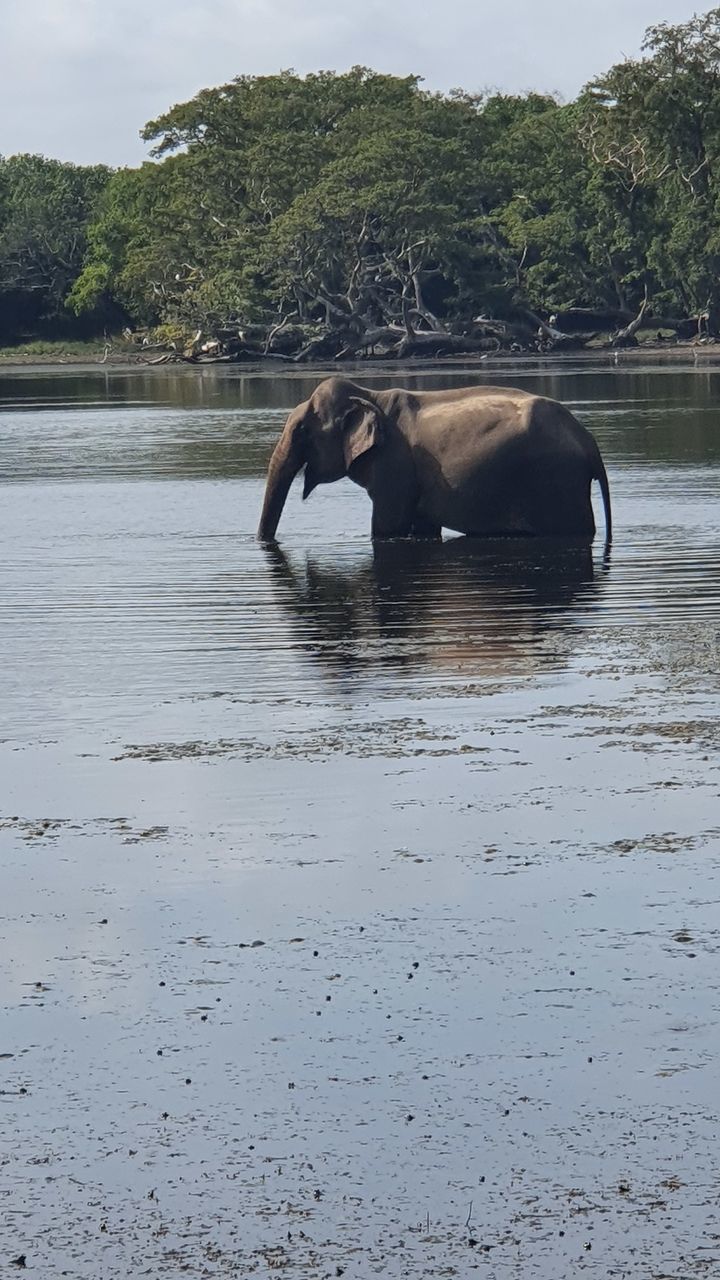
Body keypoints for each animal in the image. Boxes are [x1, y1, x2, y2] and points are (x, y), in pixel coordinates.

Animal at [254, 373, 607, 545]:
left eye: (302, 431)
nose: (263, 542)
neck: (370, 396)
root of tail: (589, 442)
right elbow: (423, 527)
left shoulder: (394, 466)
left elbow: (388, 527)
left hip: (556, 483)